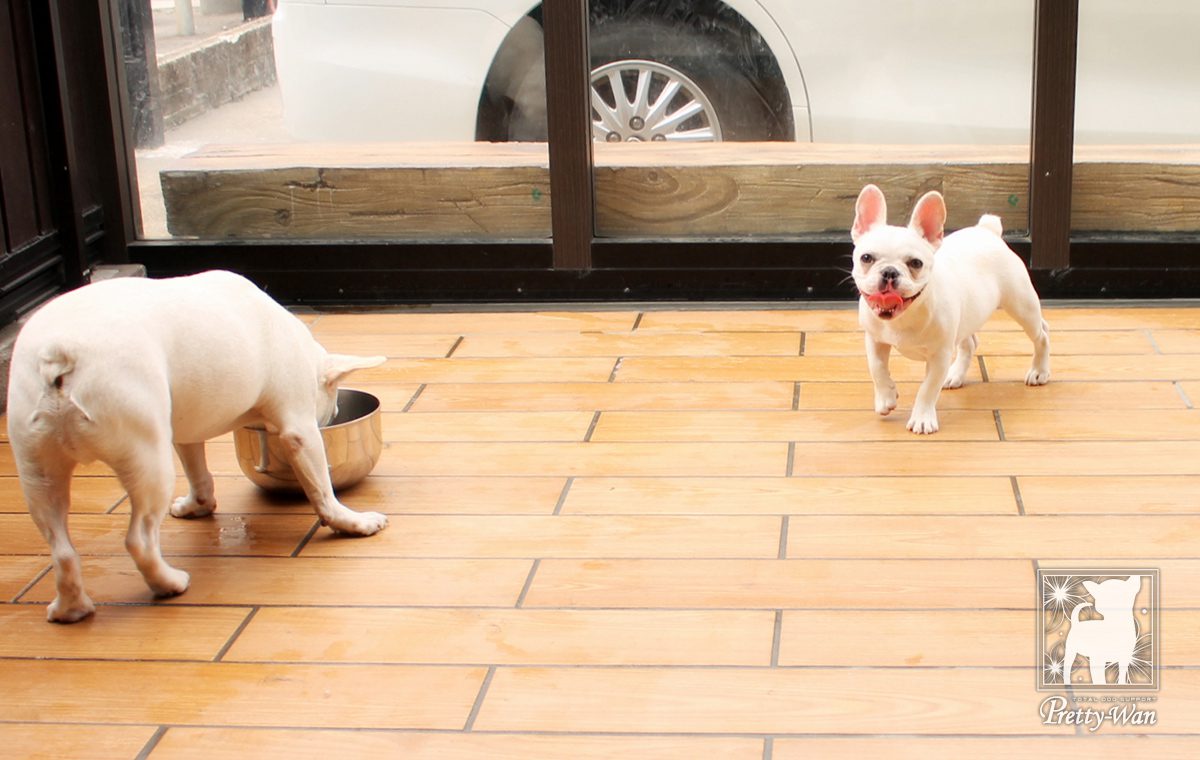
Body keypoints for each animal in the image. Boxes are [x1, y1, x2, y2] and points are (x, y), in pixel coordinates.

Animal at [6, 271, 387, 623]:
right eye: (333, 411)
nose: (330, 419)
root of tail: (60, 352)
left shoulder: (187, 433)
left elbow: (198, 472)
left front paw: (197, 506)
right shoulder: (300, 428)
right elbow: (322, 490)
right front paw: (350, 521)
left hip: (38, 469)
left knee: (61, 547)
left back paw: (71, 608)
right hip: (147, 458)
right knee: (140, 539)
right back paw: (168, 584)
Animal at [850, 184, 1050, 434]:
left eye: (915, 263)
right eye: (866, 257)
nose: (889, 272)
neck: (905, 316)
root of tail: (987, 231)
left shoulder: (940, 355)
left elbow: (927, 388)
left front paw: (922, 418)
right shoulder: (875, 339)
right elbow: (876, 368)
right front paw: (886, 398)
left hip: (1022, 304)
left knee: (1041, 334)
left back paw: (1039, 371)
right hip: (967, 317)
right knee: (970, 343)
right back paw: (955, 375)